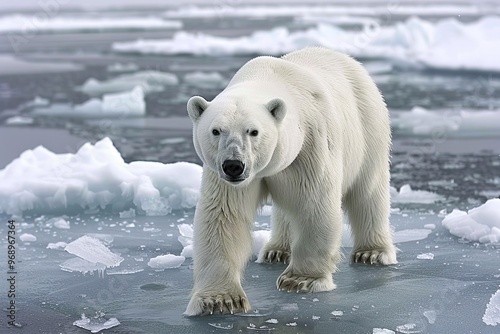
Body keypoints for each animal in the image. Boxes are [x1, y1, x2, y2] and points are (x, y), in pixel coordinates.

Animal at [186, 46, 396, 316]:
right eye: (215, 130)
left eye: (253, 131)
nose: (234, 165)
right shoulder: (225, 176)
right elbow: (224, 216)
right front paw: (219, 300)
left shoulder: (311, 144)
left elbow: (314, 204)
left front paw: (300, 280)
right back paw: (276, 250)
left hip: (368, 126)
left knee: (367, 191)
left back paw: (372, 253)